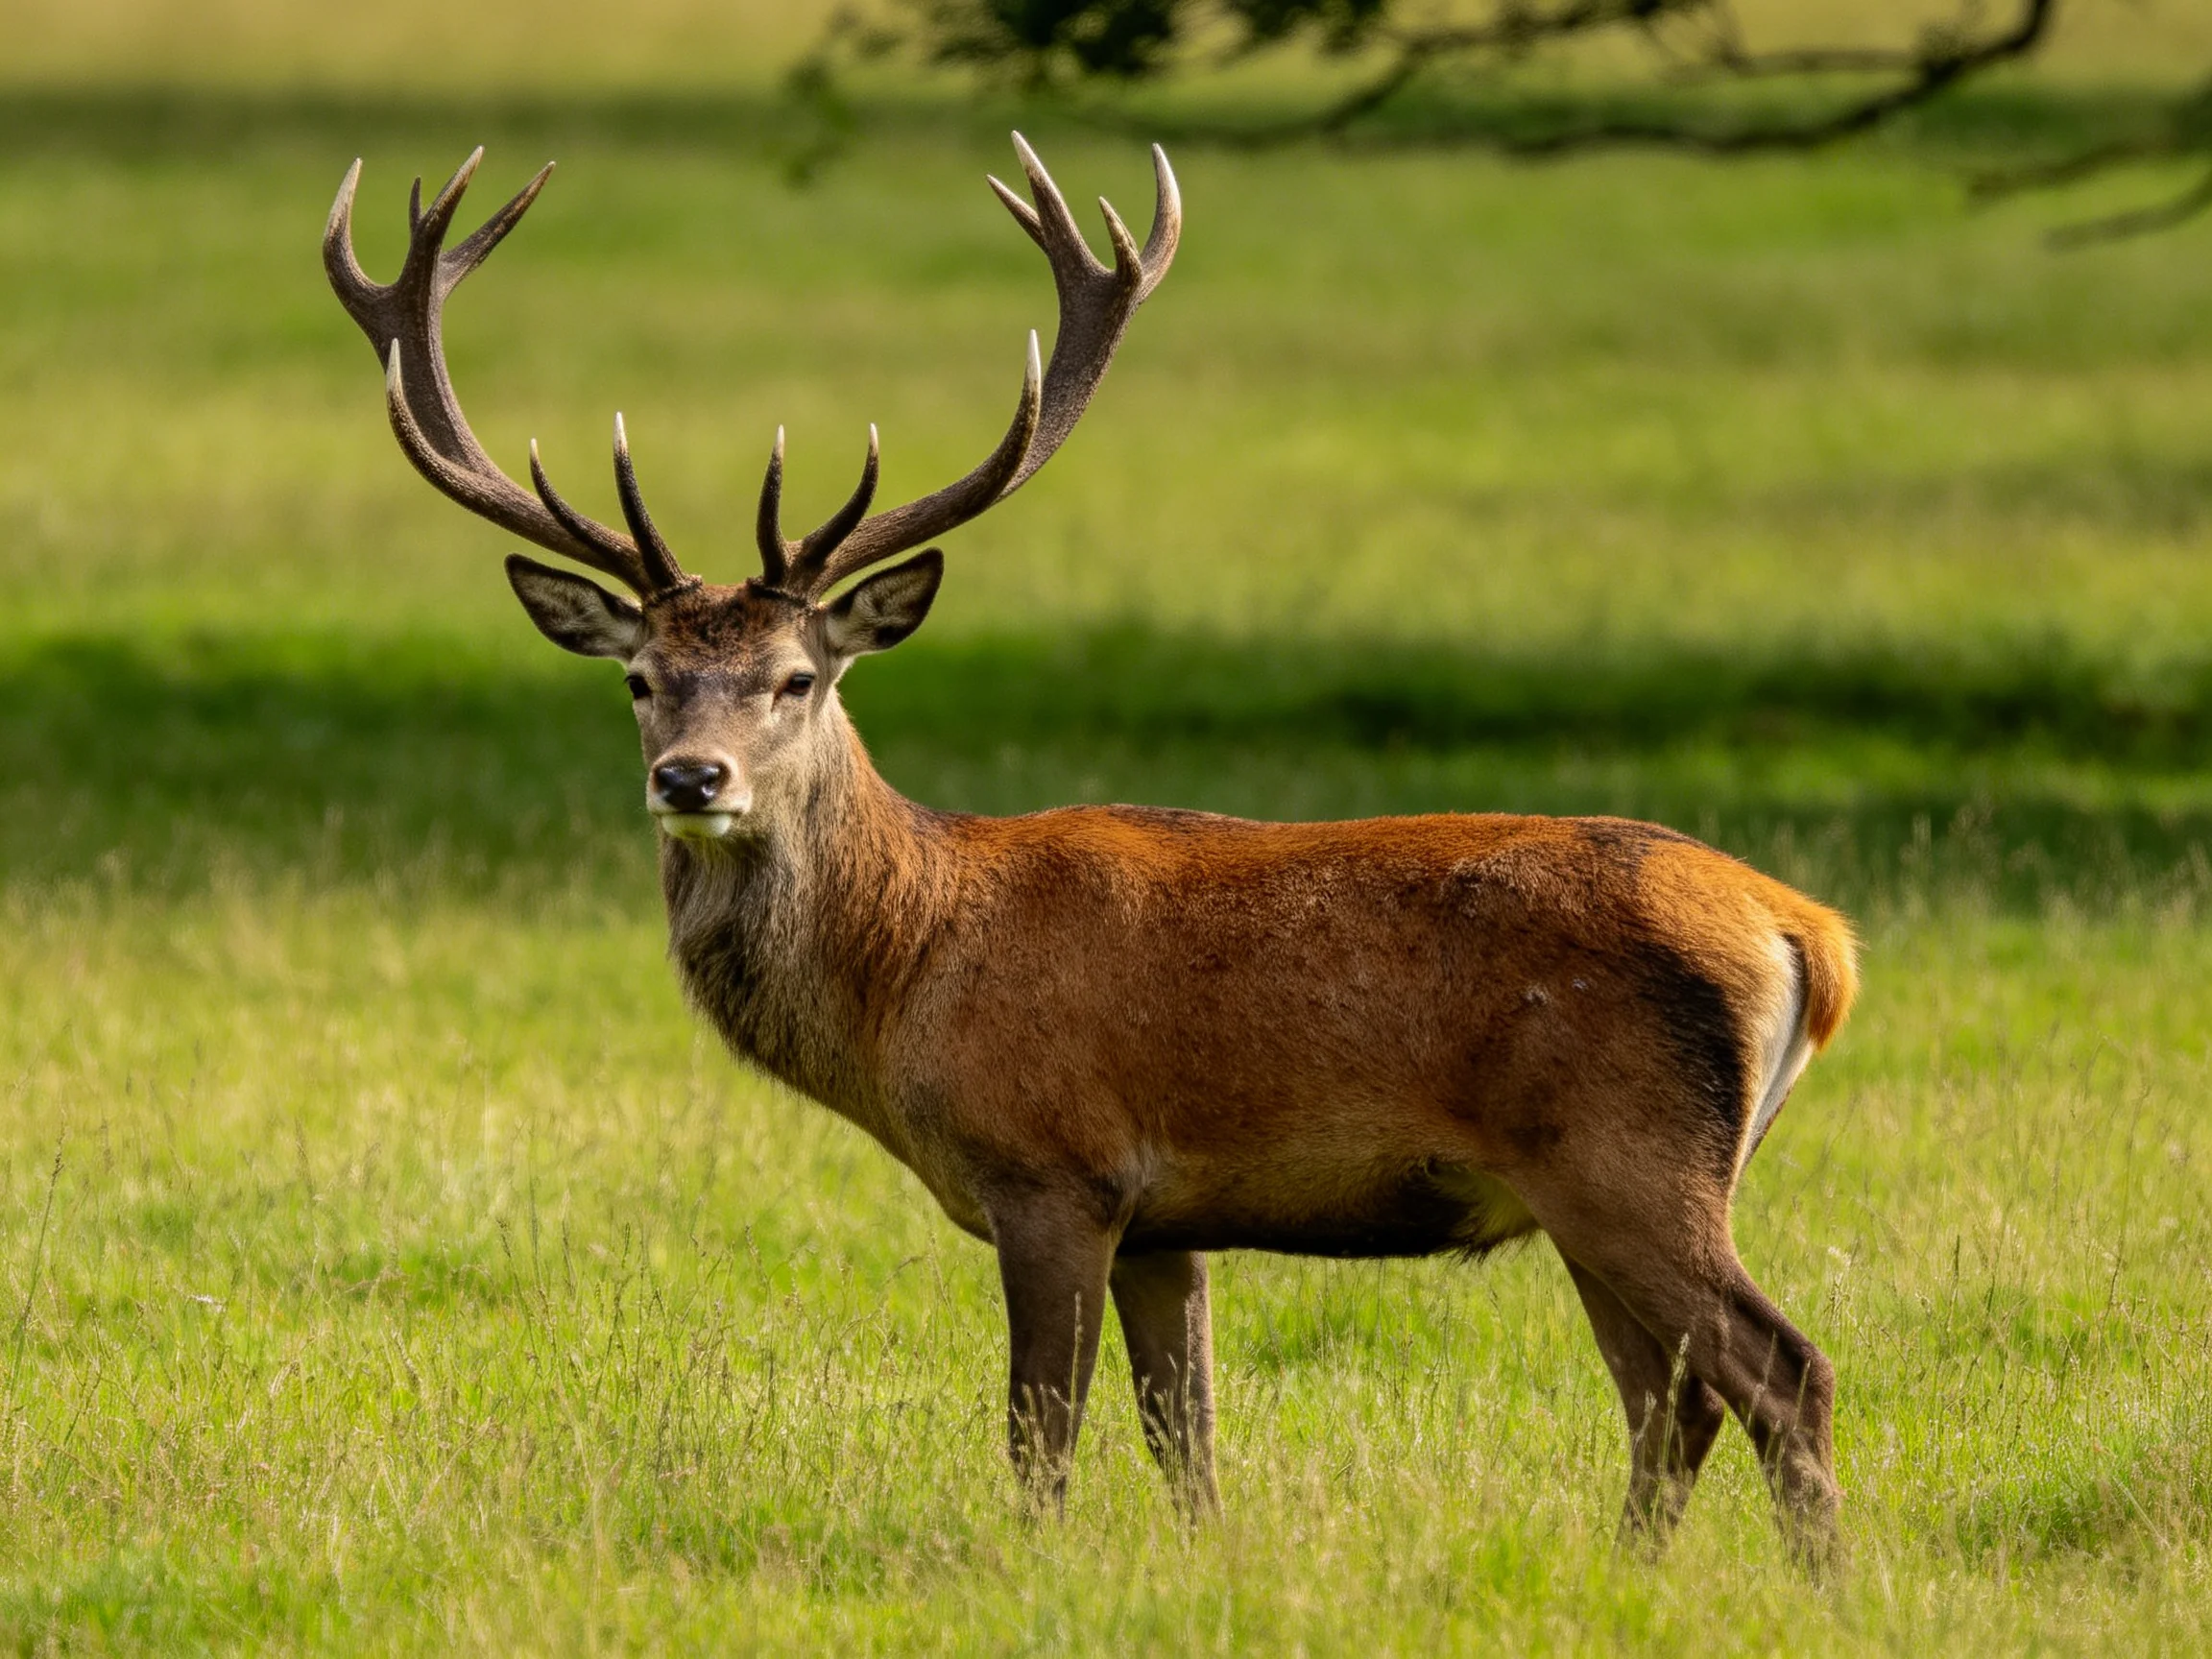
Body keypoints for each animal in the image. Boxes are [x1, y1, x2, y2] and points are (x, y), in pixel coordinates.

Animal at [324, 138, 1859, 1562]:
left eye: (796, 678)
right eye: (640, 679)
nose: (690, 777)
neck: (910, 970)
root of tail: (1810, 936)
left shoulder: (1054, 1169)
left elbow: (1039, 1431)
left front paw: (1033, 1566)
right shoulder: (1171, 1217)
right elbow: (1185, 1430)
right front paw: (1203, 1560)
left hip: (1625, 1153)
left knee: (1779, 1371)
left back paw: (1820, 1585)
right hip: (1595, 1180)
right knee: (1671, 1398)